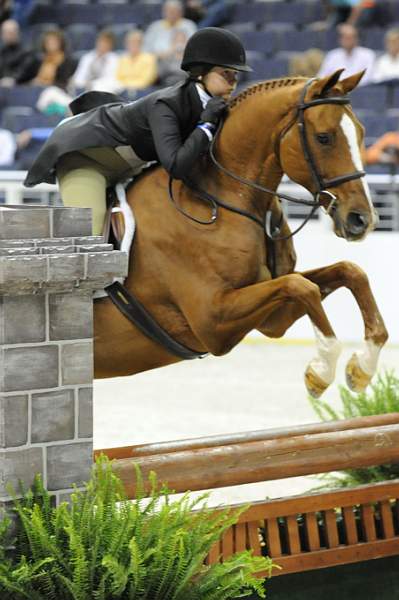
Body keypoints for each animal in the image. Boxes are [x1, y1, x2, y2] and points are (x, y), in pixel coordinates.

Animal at [93, 71, 388, 398]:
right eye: (324, 137)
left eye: (361, 133)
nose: (362, 220)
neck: (218, 198)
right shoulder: (213, 321)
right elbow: (302, 286)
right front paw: (320, 372)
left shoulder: (273, 318)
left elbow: (348, 272)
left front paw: (362, 368)